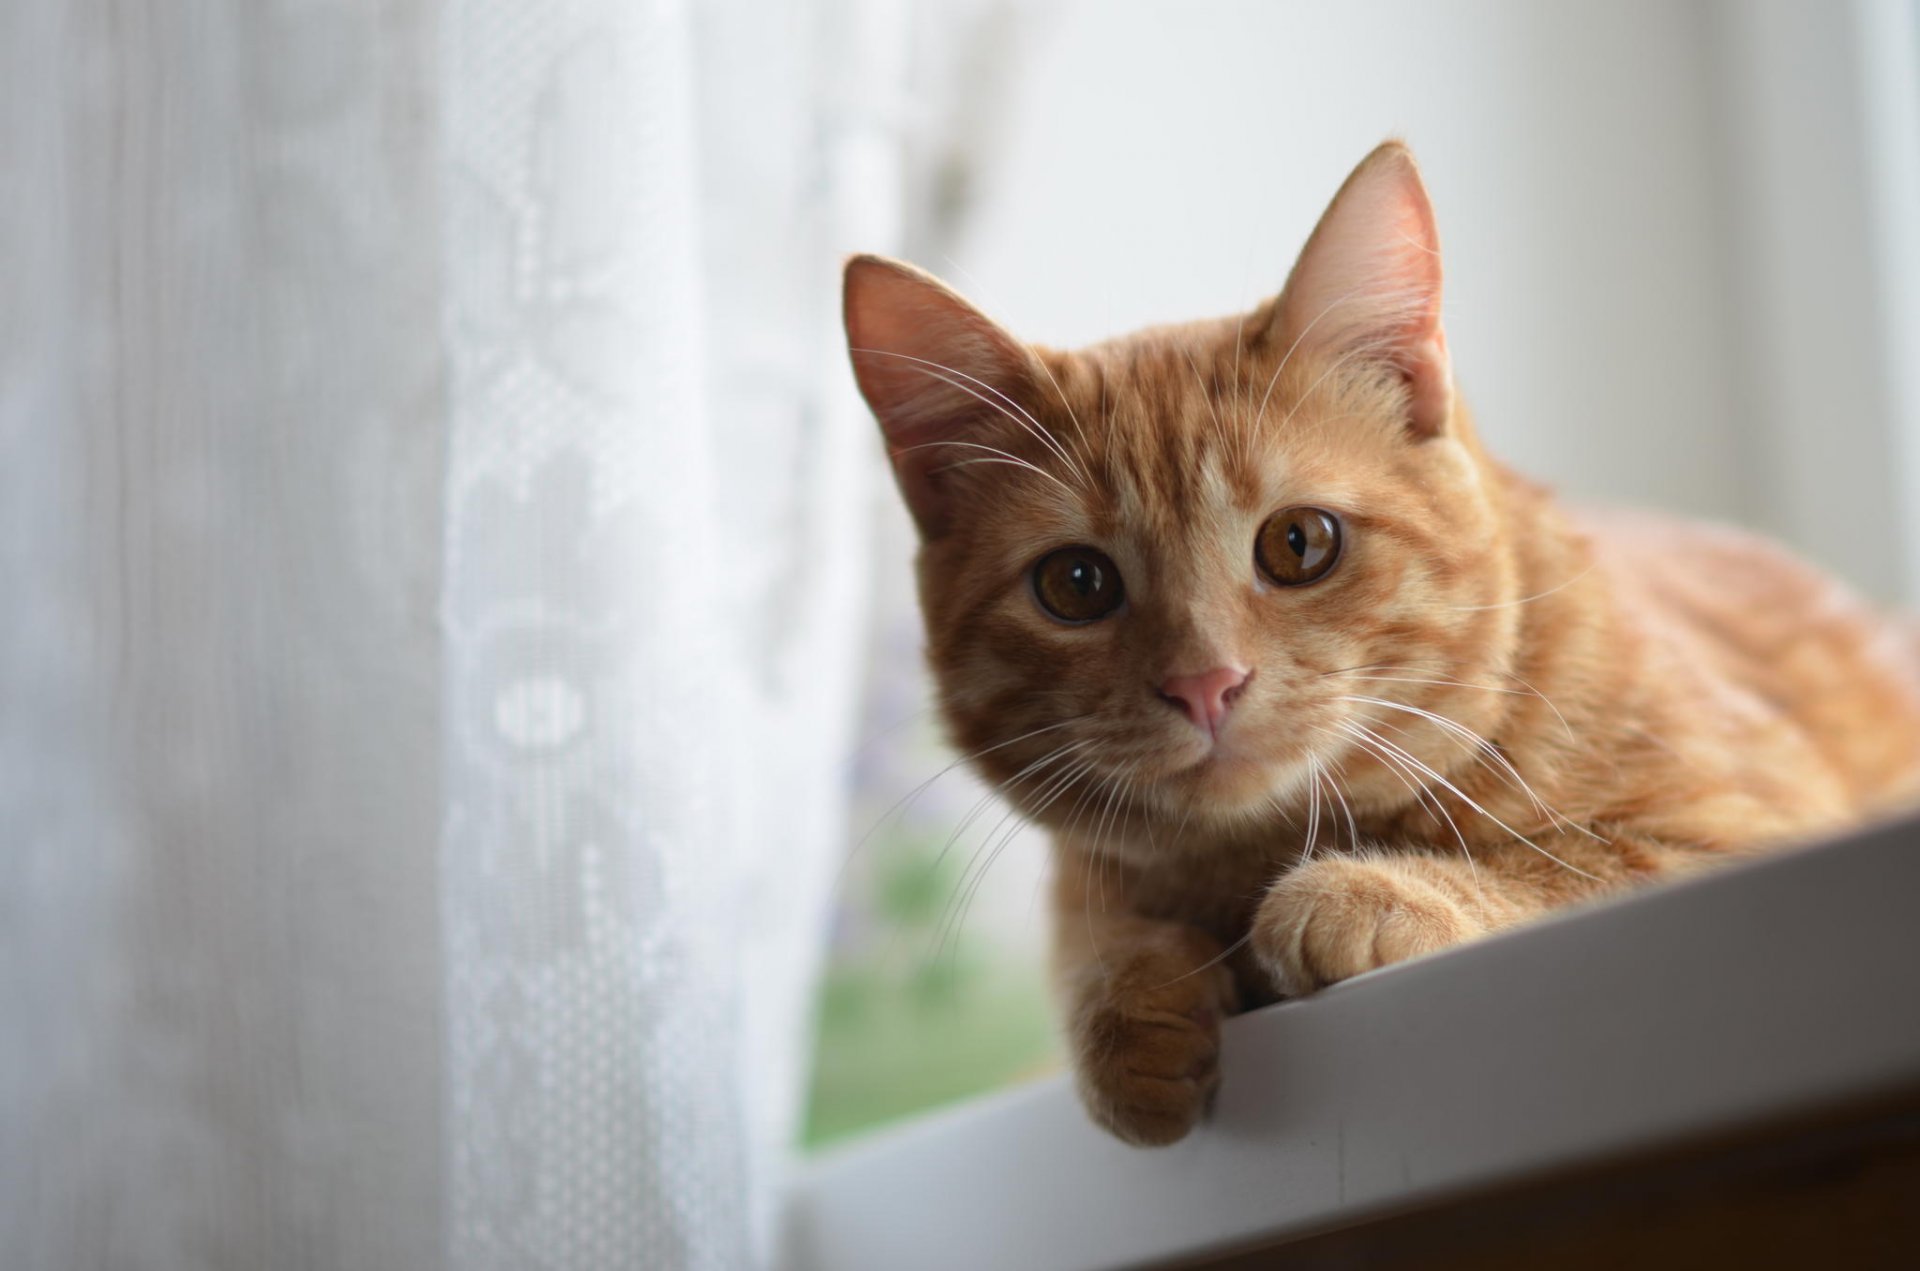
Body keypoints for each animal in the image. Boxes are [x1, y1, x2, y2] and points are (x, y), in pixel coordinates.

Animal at [837, 143, 1920, 1151]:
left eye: (1298, 543)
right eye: (1076, 585)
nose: (1204, 682)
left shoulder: (1743, 831)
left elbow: (1569, 865)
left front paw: (1360, 892)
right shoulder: (1090, 882)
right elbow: (1094, 947)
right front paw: (1131, 1006)